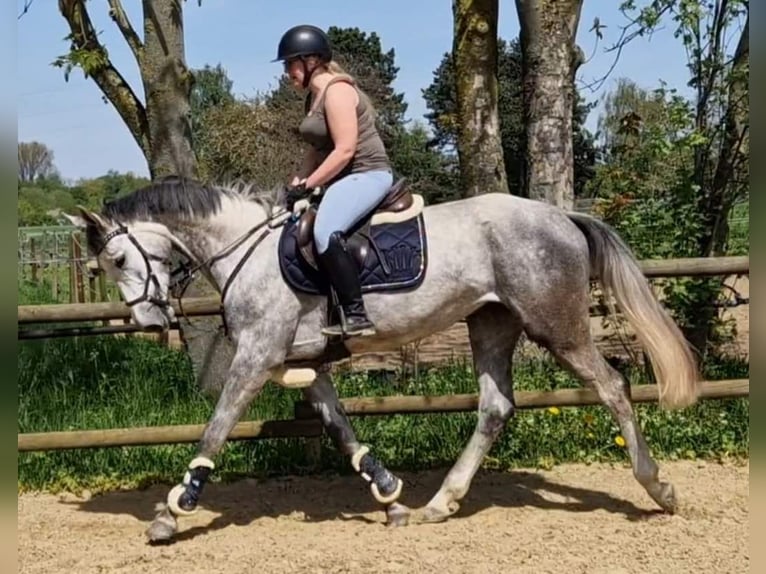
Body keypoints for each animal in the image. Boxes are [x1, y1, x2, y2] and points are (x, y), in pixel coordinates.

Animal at [66, 177, 704, 544]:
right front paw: (390, 492)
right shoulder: (303, 362)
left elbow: (216, 429)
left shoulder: (256, 356)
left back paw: (659, 489)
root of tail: (560, 216)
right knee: (496, 407)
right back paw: (439, 504)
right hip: (491, 323)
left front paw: (174, 511)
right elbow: (340, 427)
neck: (245, 251)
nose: (150, 324)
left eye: (118, 259)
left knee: (614, 386)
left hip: (557, 327)